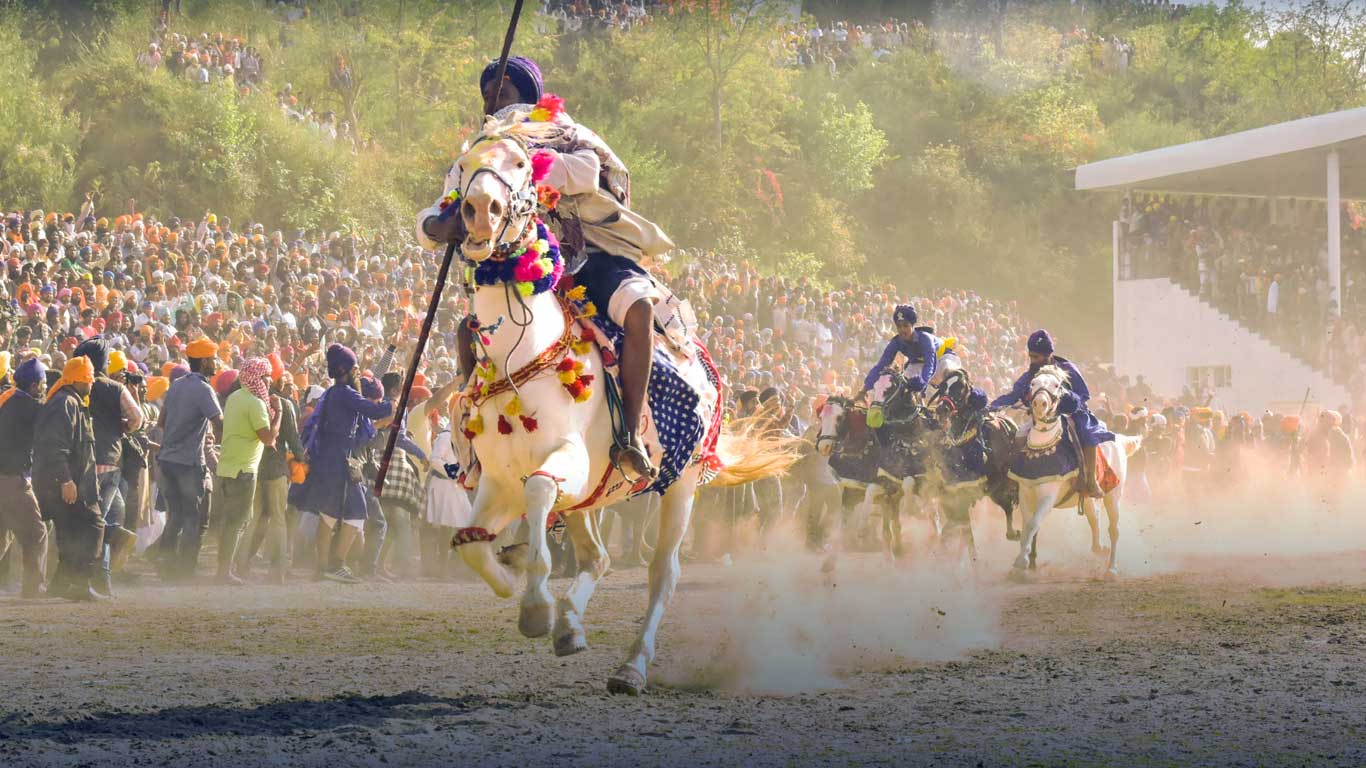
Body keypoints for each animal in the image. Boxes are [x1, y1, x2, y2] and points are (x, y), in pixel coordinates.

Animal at [445, 110, 792, 691]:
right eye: (463, 166)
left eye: (520, 164)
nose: (478, 210)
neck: (523, 355)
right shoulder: (496, 483)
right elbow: (470, 543)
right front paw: (511, 582)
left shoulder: (567, 462)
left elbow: (540, 490)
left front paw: (534, 605)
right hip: (593, 500)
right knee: (599, 557)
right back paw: (570, 626)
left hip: (683, 482)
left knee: (661, 574)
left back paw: (630, 664)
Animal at [1010, 363, 1136, 573]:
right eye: (1033, 383)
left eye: (1056, 385)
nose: (1039, 404)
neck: (1042, 448)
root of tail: (1119, 438)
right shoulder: (1025, 492)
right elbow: (1027, 526)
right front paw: (1023, 560)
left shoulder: (1048, 496)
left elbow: (1033, 524)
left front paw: (1021, 561)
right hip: (1088, 497)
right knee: (1094, 517)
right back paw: (1098, 548)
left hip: (1114, 494)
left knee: (1114, 529)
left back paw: (1112, 568)